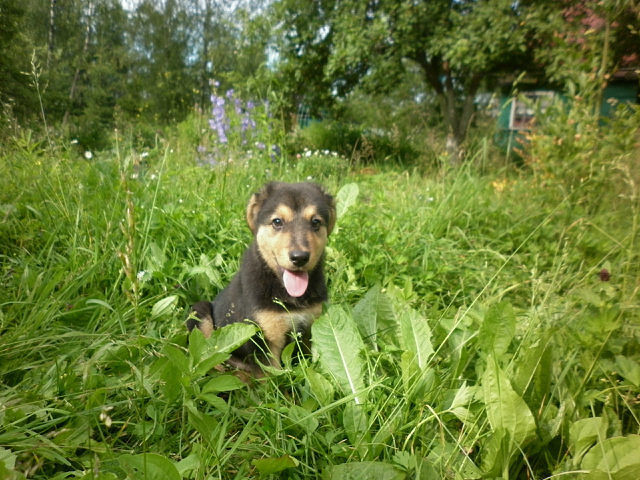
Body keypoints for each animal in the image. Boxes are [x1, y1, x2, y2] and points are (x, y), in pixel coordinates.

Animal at [186, 182, 338, 374]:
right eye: (277, 222)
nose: (299, 257)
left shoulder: (310, 328)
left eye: (316, 222)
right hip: (199, 313)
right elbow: (272, 377)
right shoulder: (265, 341)